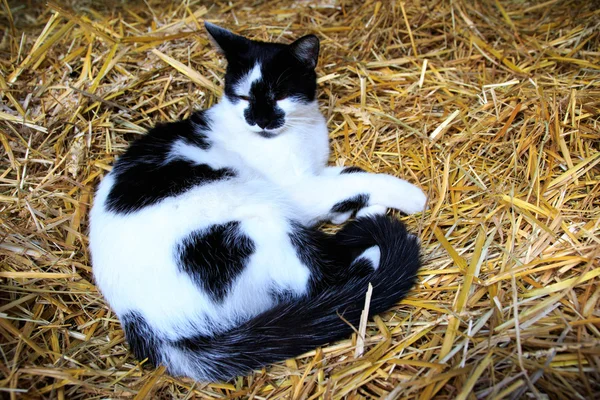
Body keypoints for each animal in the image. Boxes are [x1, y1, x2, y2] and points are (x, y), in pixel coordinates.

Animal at [88, 22, 426, 382]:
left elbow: (347, 175)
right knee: (321, 277)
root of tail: (148, 327)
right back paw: (371, 244)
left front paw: (347, 211)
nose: (260, 121)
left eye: (278, 96)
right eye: (244, 97)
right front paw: (409, 195)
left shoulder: (315, 172)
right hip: (254, 222)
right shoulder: (299, 191)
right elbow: (356, 180)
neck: (300, 132)